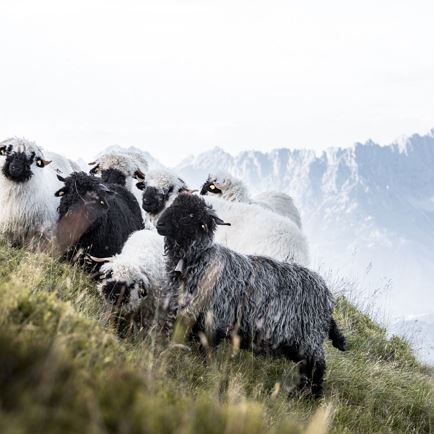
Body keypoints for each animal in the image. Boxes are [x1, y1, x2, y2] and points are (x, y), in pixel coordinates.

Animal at [156, 195, 346, 398]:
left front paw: (204, 369)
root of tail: (329, 299)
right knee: (305, 367)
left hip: (310, 338)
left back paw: (309, 397)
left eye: (191, 214)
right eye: (173, 204)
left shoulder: (214, 318)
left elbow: (207, 348)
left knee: (317, 366)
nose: (160, 224)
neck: (199, 258)